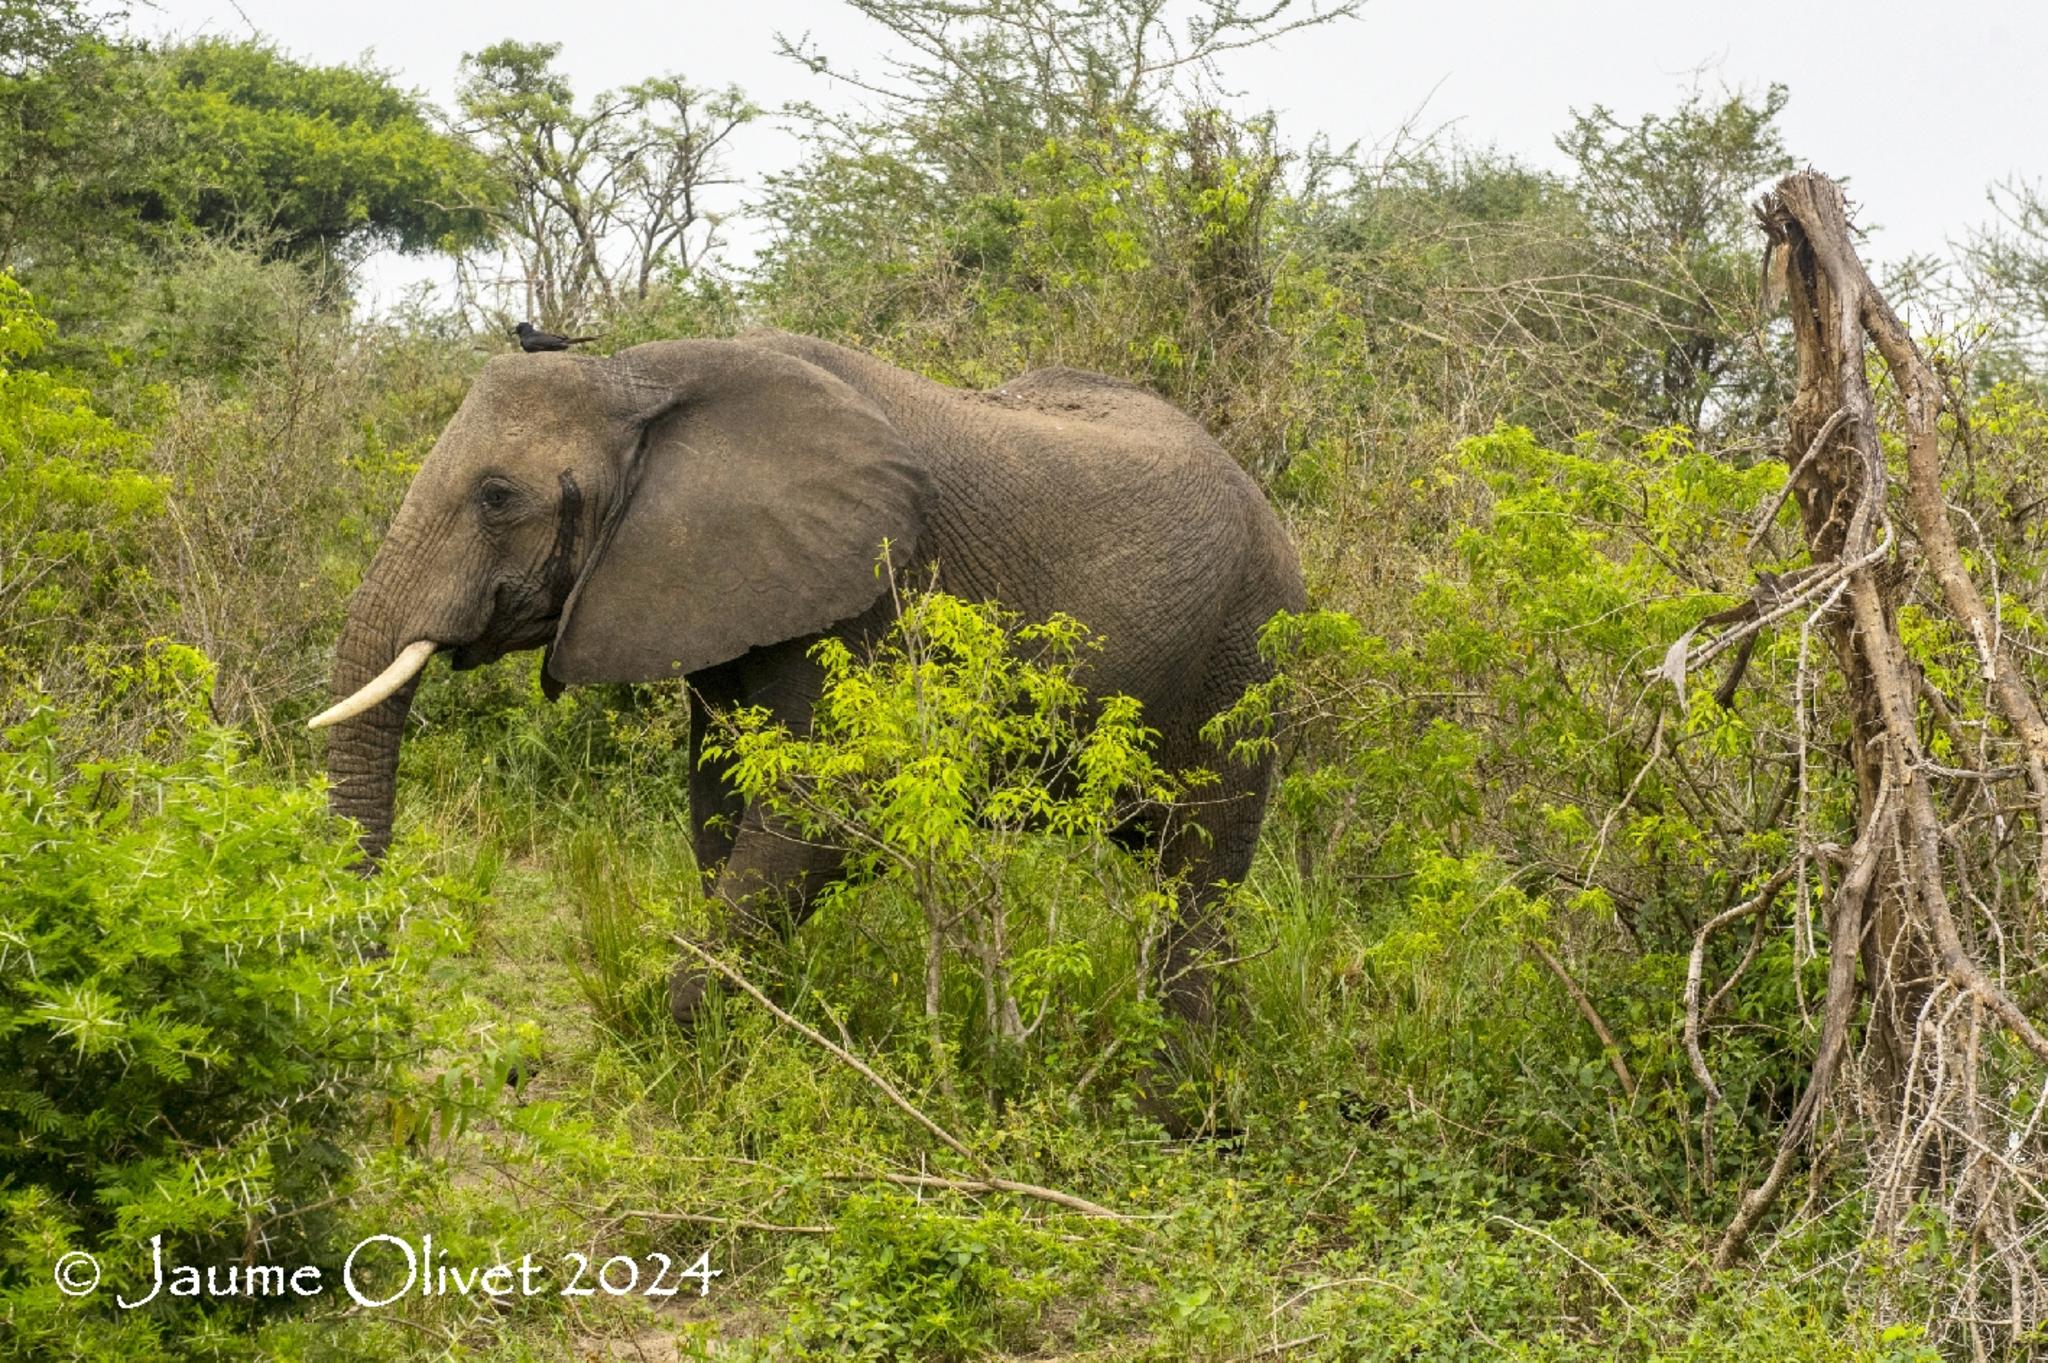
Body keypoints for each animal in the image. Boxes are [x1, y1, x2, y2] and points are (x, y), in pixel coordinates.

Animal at [315, 333, 1310, 1023]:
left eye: (497, 498)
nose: (370, 971)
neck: (636, 375)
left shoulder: (870, 593)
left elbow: (826, 807)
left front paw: (679, 1032)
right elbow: (720, 800)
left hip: (1246, 657)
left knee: (1196, 877)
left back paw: (1175, 1095)